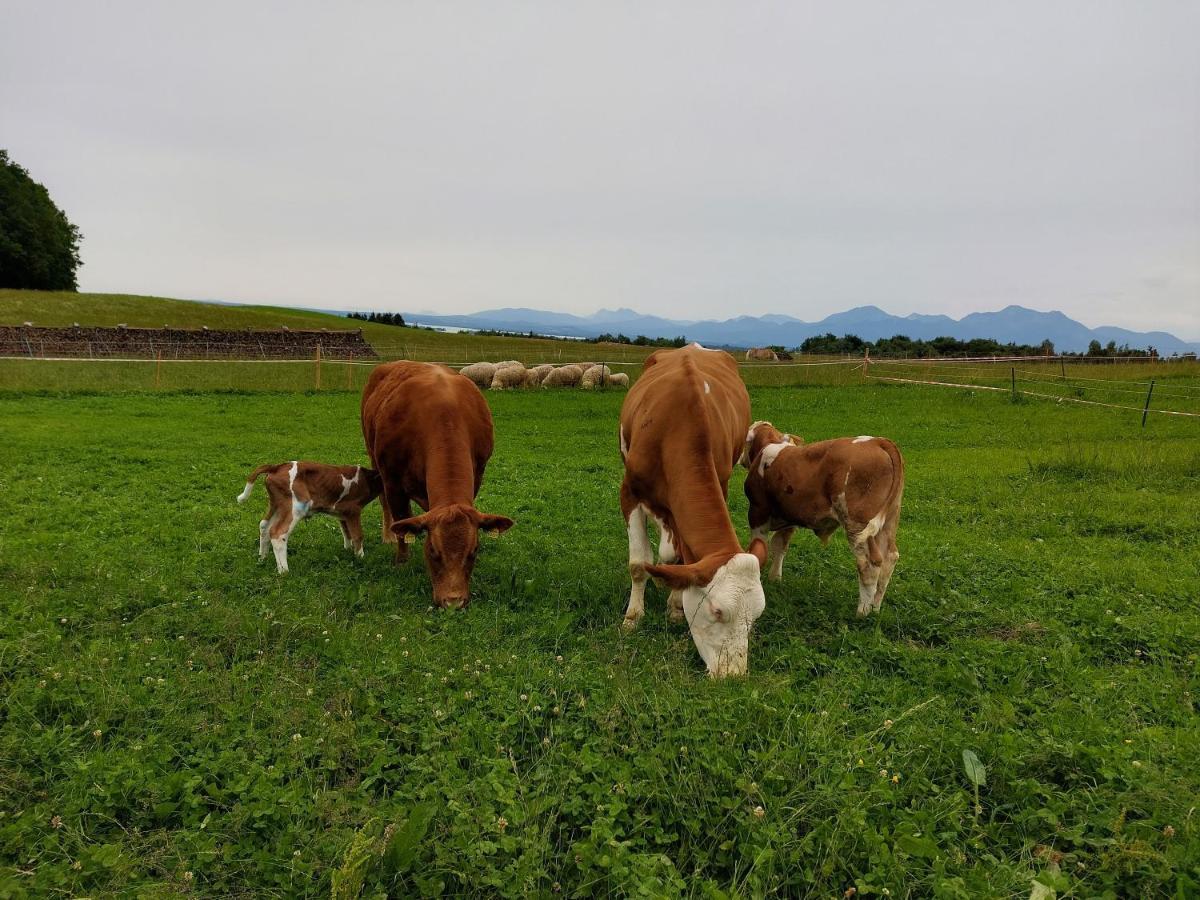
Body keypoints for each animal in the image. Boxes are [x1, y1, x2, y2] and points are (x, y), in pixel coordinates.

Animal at [236, 460, 381, 573]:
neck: (366, 479)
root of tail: (277, 466)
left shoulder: (342, 513)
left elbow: (346, 533)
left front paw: (348, 550)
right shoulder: (353, 510)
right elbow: (358, 535)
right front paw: (361, 557)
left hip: (276, 505)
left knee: (264, 525)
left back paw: (263, 558)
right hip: (295, 507)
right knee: (278, 533)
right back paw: (284, 571)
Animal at [357, 362, 513, 609]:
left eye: (474, 550)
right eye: (432, 550)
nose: (453, 602)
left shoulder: (478, 475)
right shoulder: (393, 482)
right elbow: (401, 522)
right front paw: (402, 560)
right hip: (373, 456)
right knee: (384, 502)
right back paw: (388, 535)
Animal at [619, 343, 768, 676]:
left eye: (755, 618)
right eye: (717, 611)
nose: (734, 676)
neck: (676, 425)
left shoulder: (720, 482)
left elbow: (679, 560)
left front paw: (675, 607)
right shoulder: (630, 493)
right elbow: (638, 564)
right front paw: (633, 617)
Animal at [734, 422, 902, 619]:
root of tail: (878, 441)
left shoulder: (757, 512)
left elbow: (759, 547)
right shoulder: (788, 517)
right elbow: (780, 546)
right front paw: (775, 578)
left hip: (858, 524)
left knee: (870, 564)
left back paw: (862, 612)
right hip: (888, 521)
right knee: (890, 558)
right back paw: (875, 608)